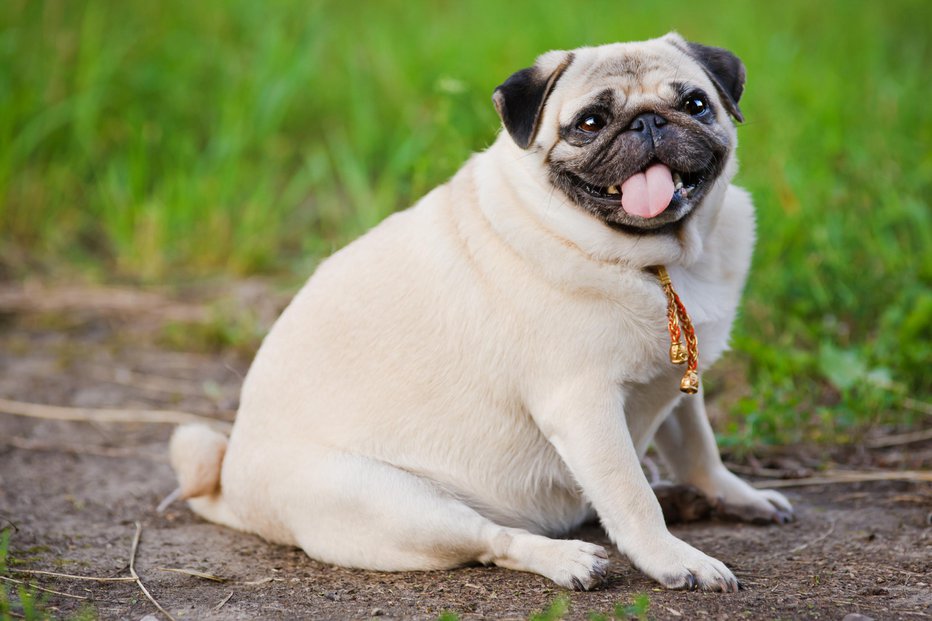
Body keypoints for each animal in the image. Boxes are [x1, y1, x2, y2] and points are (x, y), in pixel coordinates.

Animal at [169, 32, 792, 592]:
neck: (658, 263)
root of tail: (232, 491)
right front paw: (674, 559)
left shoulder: (676, 375)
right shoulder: (583, 405)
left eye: (695, 105)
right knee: (495, 539)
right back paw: (568, 559)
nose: (648, 123)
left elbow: (698, 449)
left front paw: (733, 494)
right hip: (395, 503)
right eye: (591, 122)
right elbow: (629, 496)